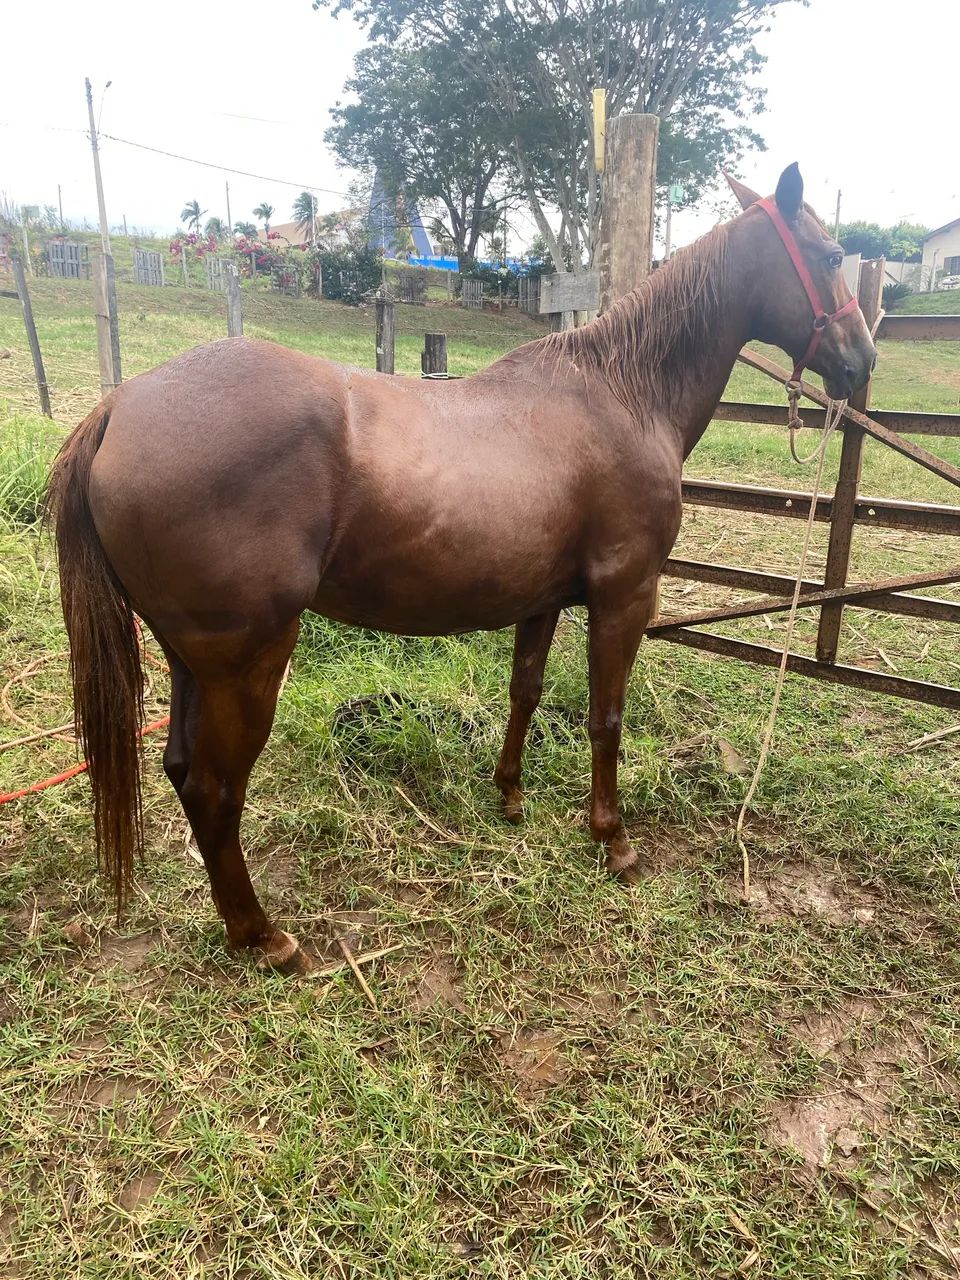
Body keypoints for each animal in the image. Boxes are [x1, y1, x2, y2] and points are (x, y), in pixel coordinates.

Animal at [47, 165, 876, 974]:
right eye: (832, 255)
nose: (862, 361)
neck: (622, 392)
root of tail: (120, 408)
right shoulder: (624, 597)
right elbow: (605, 719)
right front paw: (612, 839)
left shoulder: (544, 601)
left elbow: (526, 693)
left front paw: (510, 797)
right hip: (246, 666)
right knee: (216, 790)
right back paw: (264, 936)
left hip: (192, 662)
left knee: (182, 771)